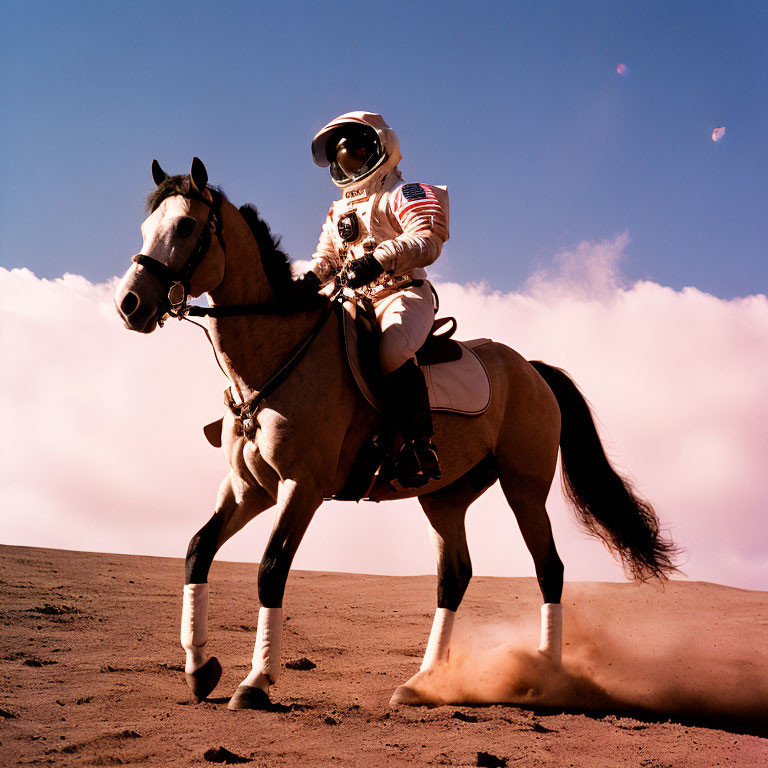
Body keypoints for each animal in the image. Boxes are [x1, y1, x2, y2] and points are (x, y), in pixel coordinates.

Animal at [114, 159, 680, 712]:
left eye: (186, 227)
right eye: (145, 228)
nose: (129, 304)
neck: (278, 353)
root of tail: (531, 369)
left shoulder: (303, 487)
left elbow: (271, 569)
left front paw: (256, 682)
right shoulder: (248, 488)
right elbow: (198, 550)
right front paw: (199, 667)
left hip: (525, 487)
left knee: (549, 570)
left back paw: (544, 677)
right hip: (444, 498)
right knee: (453, 578)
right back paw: (425, 682)